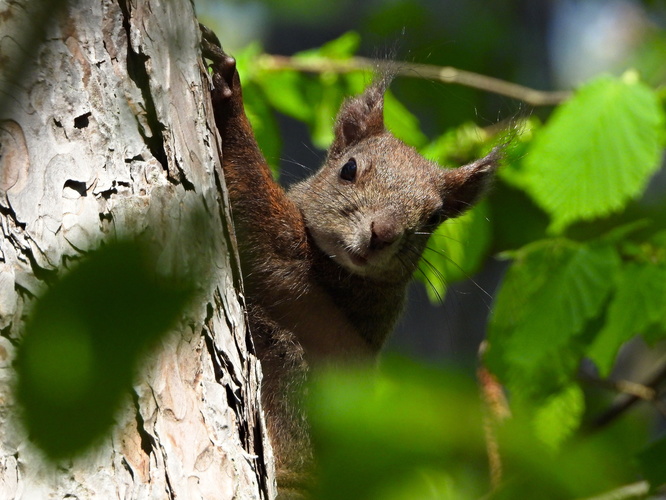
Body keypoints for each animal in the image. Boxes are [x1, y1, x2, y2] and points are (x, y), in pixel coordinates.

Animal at [200, 26, 496, 500]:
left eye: (434, 218)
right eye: (349, 168)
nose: (383, 233)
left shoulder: (318, 287)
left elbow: (254, 214)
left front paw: (231, 94)